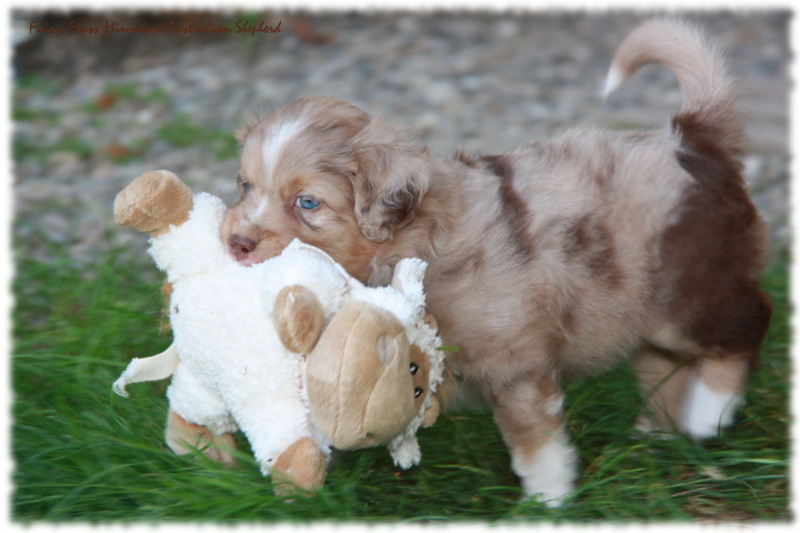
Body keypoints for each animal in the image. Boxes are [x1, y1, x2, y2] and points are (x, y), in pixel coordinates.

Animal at [170, 19, 776, 502]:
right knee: (663, 362)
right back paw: (659, 430)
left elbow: (531, 436)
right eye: (245, 186)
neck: (407, 245)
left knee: (749, 321)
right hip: (643, 307)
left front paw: (548, 499)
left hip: (688, 290)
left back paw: (711, 410)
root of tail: (694, 139)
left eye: (307, 203)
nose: (236, 242)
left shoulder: (514, 361)